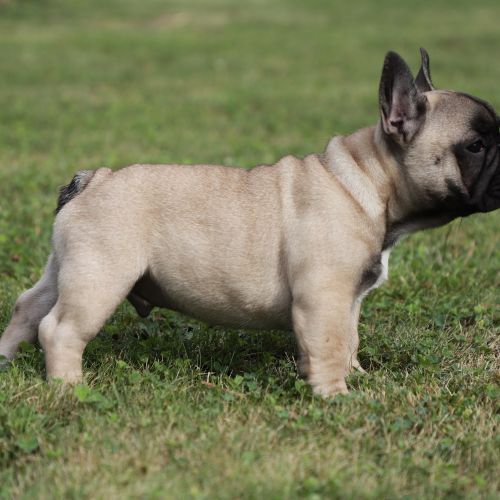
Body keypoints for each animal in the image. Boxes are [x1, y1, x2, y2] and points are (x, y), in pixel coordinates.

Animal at [1, 48, 499, 396]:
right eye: (475, 146)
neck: (368, 181)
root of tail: (93, 178)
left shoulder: (348, 300)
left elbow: (349, 340)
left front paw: (358, 377)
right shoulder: (324, 297)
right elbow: (330, 344)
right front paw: (336, 397)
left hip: (67, 268)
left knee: (29, 307)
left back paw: (6, 360)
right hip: (99, 277)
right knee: (59, 329)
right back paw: (70, 388)